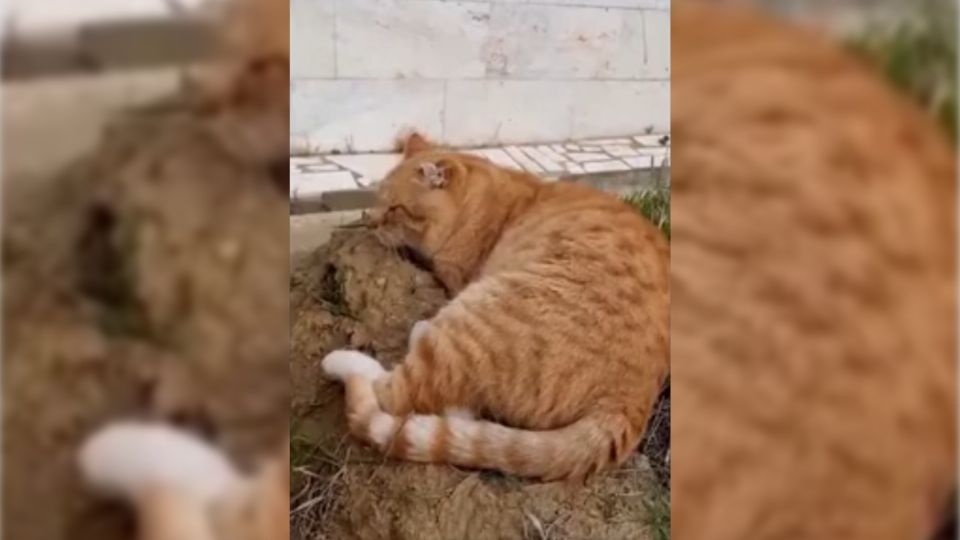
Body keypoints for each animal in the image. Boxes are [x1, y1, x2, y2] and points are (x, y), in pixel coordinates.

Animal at [320, 132, 668, 480]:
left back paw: (352, 357)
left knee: (395, 393)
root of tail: (629, 402)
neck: (486, 199)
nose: (372, 223)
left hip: (476, 317)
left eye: (395, 208)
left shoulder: (453, 277)